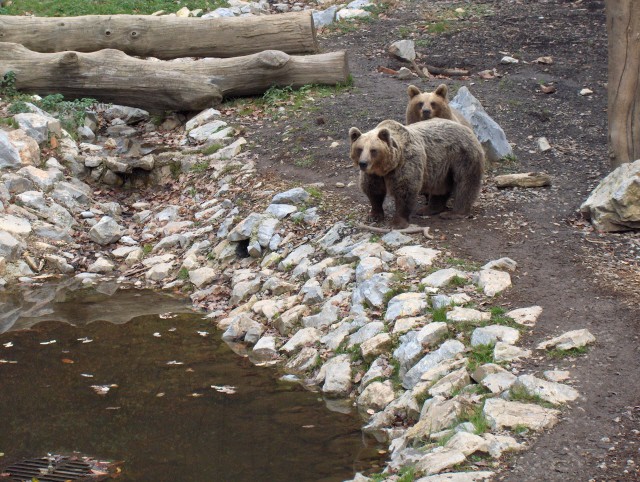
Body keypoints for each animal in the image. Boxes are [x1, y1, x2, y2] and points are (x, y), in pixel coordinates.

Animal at [352, 118, 482, 228]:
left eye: (373, 150)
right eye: (359, 149)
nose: (363, 163)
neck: (386, 167)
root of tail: (466, 128)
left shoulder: (406, 163)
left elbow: (405, 191)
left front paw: (397, 222)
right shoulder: (373, 175)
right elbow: (373, 190)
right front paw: (374, 215)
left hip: (462, 156)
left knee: (465, 184)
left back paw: (454, 213)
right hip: (441, 166)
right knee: (440, 187)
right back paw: (428, 209)